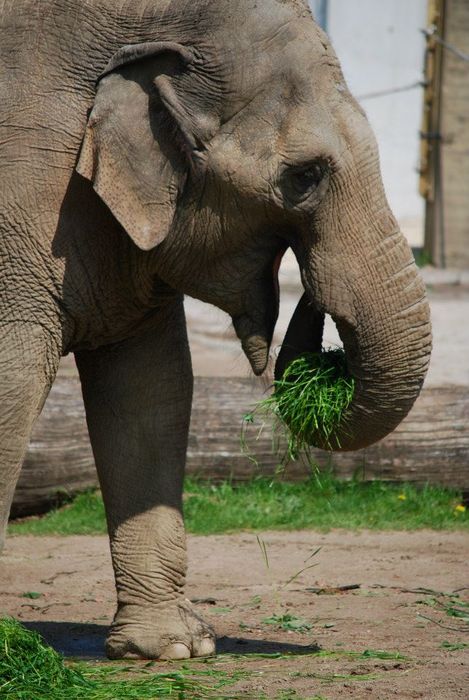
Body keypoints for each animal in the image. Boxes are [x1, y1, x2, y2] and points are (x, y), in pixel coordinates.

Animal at [0, 0, 432, 660]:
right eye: (304, 176)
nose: (312, 297)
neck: (153, 21)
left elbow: (154, 390)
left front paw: (173, 651)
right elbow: (15, 384)